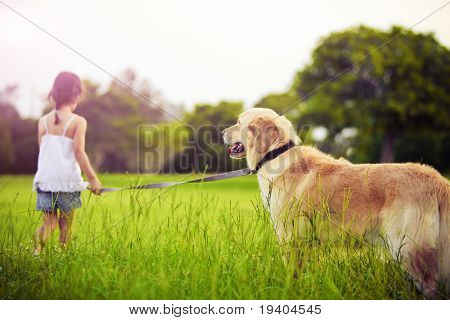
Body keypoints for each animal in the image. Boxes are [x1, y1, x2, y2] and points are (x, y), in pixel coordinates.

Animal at [223, 108, 448, 300]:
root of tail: (438, 180)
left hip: (409, 249)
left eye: (239, 122)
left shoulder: (289, 238)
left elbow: (292, 275)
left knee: (430, 285)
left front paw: (290, 292)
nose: (222, 132)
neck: (276, 154)